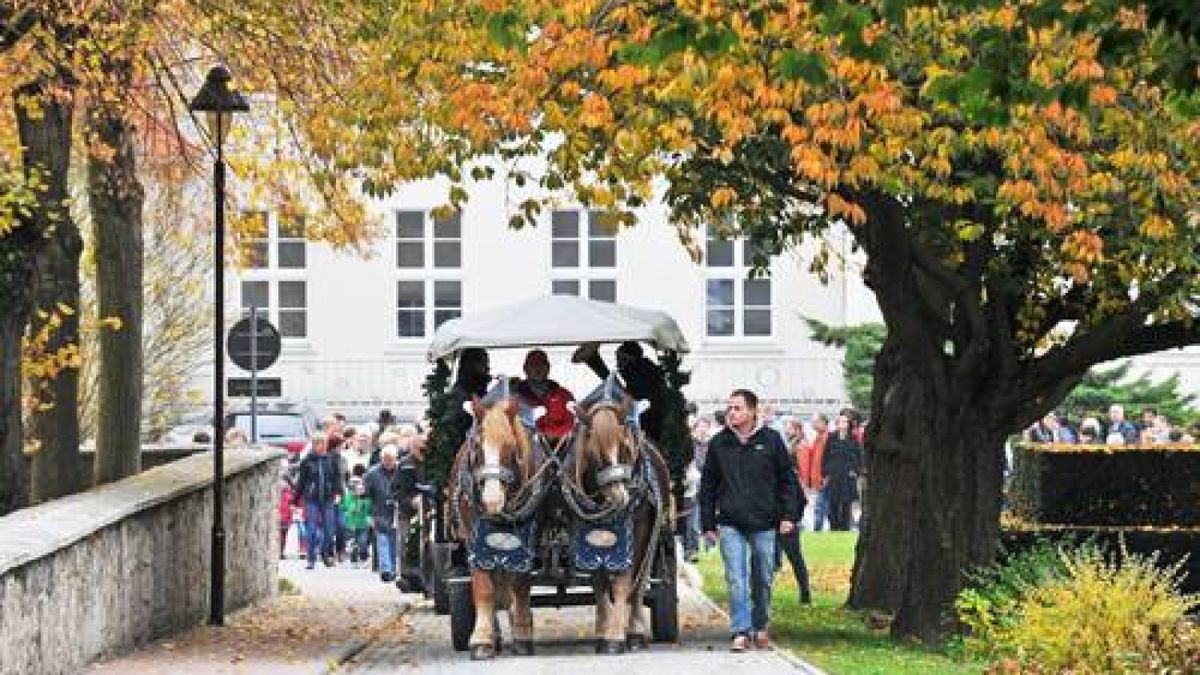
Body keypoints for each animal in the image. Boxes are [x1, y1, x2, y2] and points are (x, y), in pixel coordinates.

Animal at [451, 393, 537, 658]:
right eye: (477, 446)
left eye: (509, 445)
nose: (492, 500)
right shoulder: (473, 540)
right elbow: (483, 587)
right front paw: (482, 639)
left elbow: (519, 583)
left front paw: (521, 631)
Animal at [568, 401, 672, 648]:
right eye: (594, 451)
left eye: (625, 447)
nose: (620, 496)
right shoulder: (585, 537)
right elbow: (599, 583)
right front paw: (603, 630)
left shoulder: (638, 532)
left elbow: (624, 581)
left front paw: (615, 636)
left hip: (654, 535)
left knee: (641, 581)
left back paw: (635, 631)